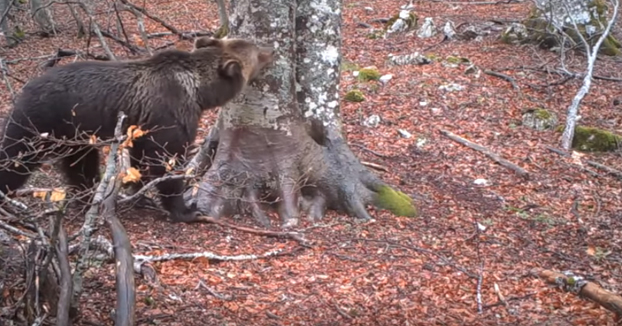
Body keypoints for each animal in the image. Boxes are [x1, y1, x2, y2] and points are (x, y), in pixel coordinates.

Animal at [0, 37, 276, 223]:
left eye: (253, 45)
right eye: (257, 53)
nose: (271, 50)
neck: (199, 92)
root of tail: (24, 88)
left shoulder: (141, 126)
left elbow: (140, 158)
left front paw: (139, 194)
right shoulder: (170, 113)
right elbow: (166, 160)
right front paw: (186, 209)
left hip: (76, 135)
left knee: (80, 165)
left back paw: (87, 198)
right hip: (40, 123)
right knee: (15, 158)